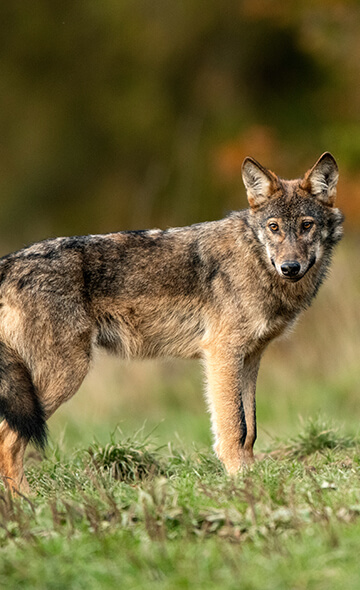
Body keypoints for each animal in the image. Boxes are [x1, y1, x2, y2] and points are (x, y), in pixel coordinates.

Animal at [0, 151, 344, 490]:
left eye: (306, 225)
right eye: (274, 227)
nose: (290, 267)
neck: (255, 260)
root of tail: (7, 263)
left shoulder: (250, 358)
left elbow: (250, 429)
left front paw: (252, 477)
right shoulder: (222, 354)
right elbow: (234, 427)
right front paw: (240, 481)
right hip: (63, 376)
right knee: (9, 439)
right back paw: (26, 500)